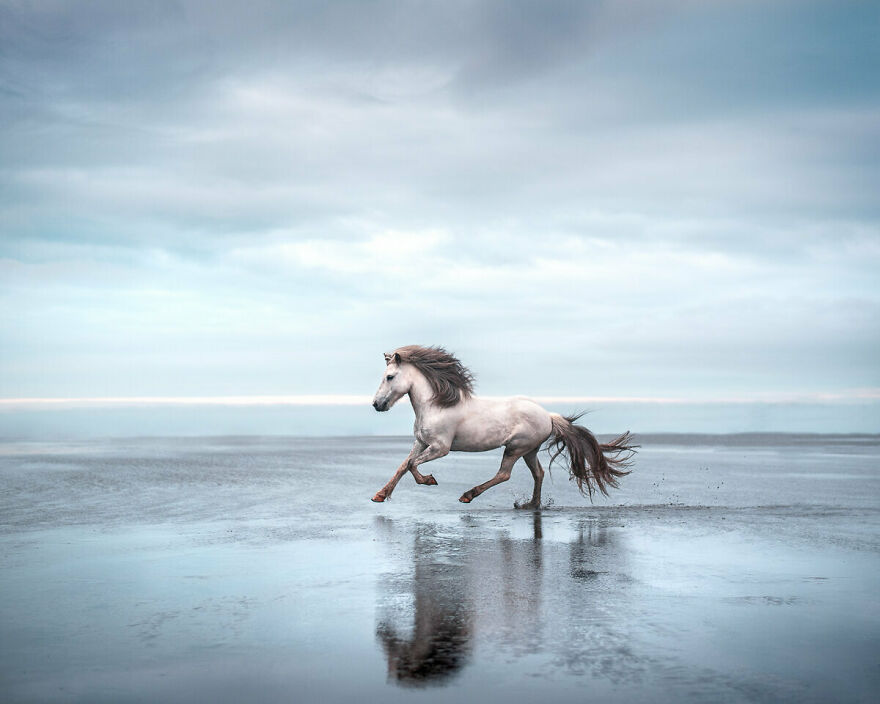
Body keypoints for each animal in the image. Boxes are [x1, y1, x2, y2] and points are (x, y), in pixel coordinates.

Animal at [370, 345, 636, 508]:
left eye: (390, 377)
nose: (376, 404)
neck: (436, 406)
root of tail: (548, 416)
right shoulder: (421, 442)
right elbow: (404, 465)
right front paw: (380, 495)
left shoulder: (440, 448)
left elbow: (412, 465)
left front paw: (429, 480)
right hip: (529, 450)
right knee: (537, 473)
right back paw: (531, 504)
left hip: (516, 448)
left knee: (504, 474)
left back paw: (468, 495)